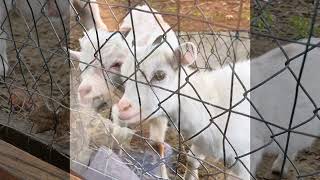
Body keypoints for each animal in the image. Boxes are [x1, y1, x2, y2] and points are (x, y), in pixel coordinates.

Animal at [112, 35, 320, 180]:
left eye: (160, 75)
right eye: (125, 75)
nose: (122, 108)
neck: (209, 101)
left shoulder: (245, 154)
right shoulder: (201, 139)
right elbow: (192, 160)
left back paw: (280, 166)